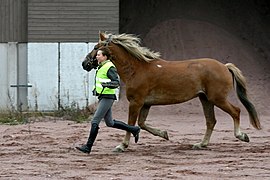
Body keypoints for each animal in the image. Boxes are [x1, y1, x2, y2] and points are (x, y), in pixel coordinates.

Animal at [82, 32, 262, 152]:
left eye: (96, 47)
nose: (85, 63)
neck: (137, 69)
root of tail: (224, 66)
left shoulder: (136, 102)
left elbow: (131, 123)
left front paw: (122, 145)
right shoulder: (146, 104)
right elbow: (142, 124)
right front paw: (164, 134)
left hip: (217, 98)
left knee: (236, 111)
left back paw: (241, 136)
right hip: (205, 99)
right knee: (211, 121)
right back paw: (201, 144)